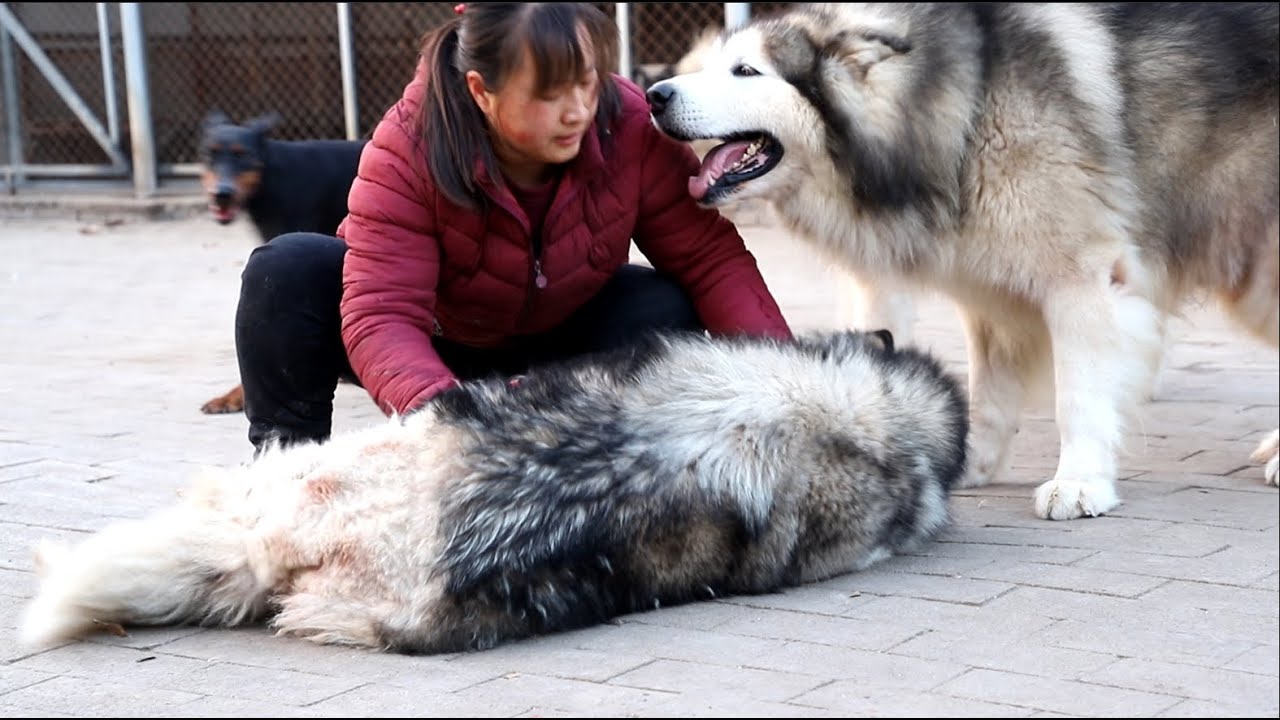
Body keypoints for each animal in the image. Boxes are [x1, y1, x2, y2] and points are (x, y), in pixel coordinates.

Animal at [650, 1, 1280, 515]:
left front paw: (1080, 483)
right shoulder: (991, 300)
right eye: (708, 66)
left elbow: (1078, 395)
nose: (655, 95)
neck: (966, 104)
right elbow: (990, 398)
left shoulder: (1083, 279)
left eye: (746, 71)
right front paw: (965, 461)